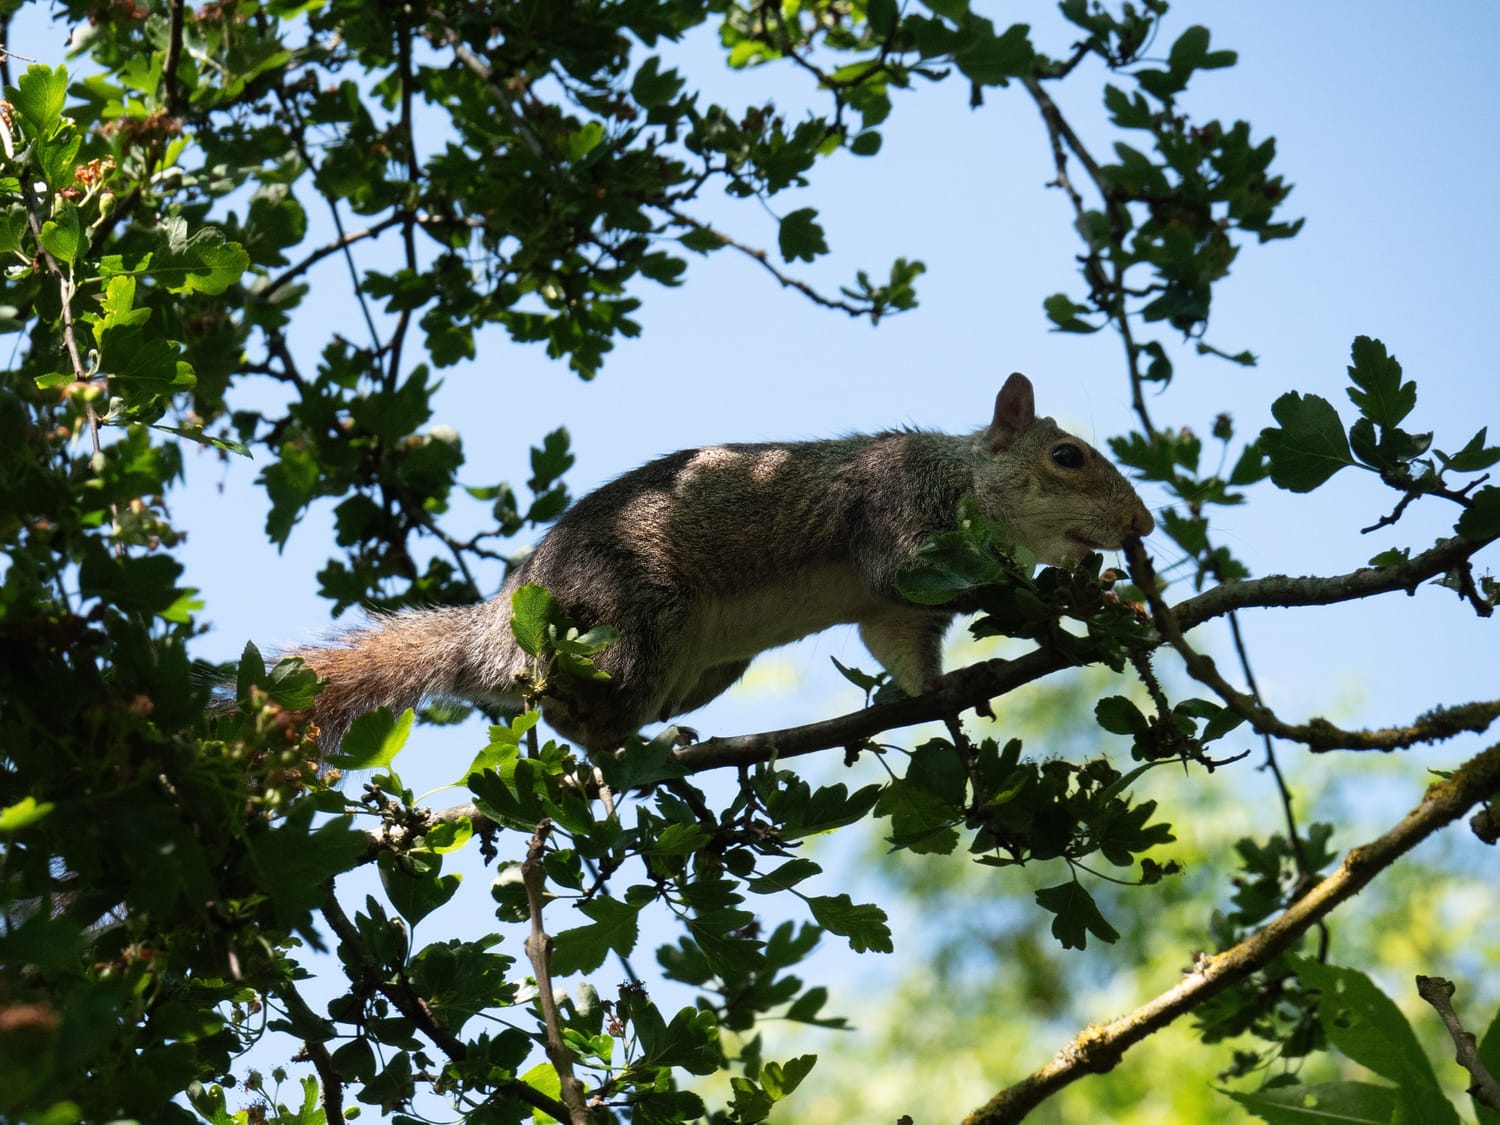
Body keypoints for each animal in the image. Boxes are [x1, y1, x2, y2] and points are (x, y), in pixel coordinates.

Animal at [288, 373, 1154, 756]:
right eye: (1067, 456)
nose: (1142, 524)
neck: (963, 479)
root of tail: (495, 629)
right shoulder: (896, 512)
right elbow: (902, 570)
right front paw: (1062, 594)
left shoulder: (897, 618)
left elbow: (903, 656)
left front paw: (949, 690)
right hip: (633, 614)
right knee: (589, 723)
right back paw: (633, 750)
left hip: (703, 669)